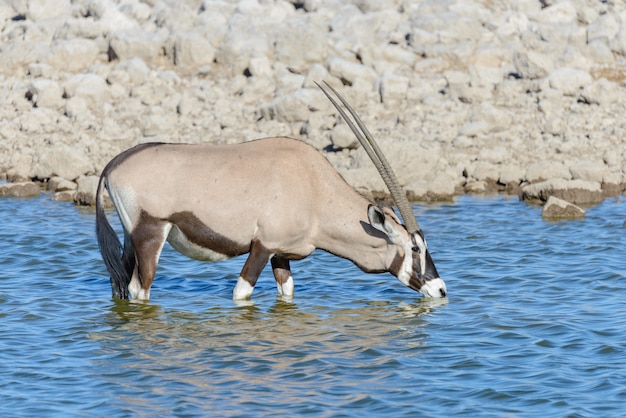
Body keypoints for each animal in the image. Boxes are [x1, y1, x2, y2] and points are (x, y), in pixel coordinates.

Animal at [95, 82, 446, 300]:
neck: (315, 191)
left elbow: (287, 293)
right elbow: (241, 292)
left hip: (131, 237)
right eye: (415, 248)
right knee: (140, 289)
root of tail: (113, 164)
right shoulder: (262, 247)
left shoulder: (282, 253)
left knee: (119, 283)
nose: (440, 289)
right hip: (151, 234)